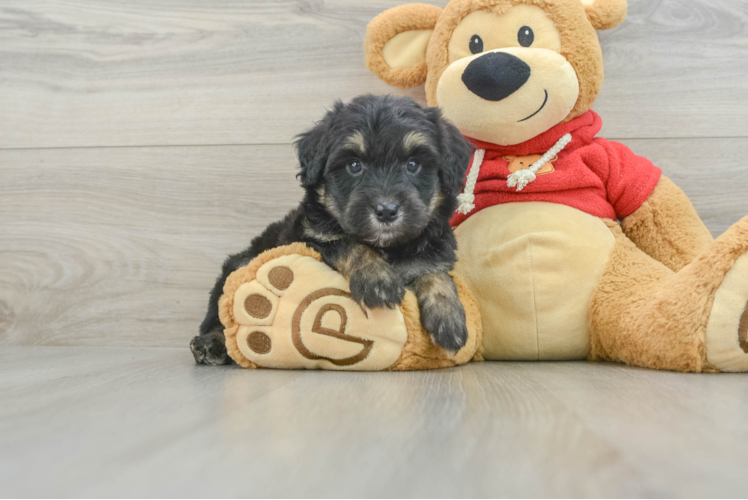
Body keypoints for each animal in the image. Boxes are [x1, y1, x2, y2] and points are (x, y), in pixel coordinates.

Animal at [193, 95, 474, 366]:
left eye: (413, 164)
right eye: (354, 165)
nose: (386, 211)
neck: (387, 248)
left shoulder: (434, 250)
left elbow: (436, 273)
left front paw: (449, 318)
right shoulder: (311, 238)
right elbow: (348, 243)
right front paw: (377, 279)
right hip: (240, 262)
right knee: (219, 314)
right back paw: (210, 343)